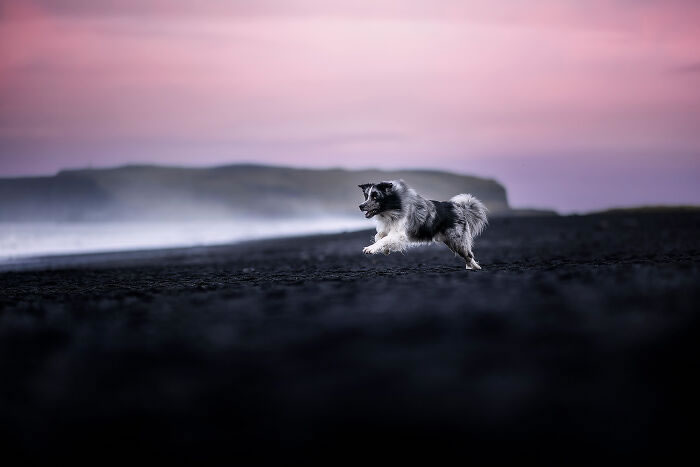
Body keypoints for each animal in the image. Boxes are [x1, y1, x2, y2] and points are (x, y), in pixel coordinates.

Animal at [358, 181, 490, 270]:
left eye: (375, 196)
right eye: (366, 196)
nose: (361, 206)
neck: (390, 211)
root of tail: (459, 207)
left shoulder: (399, 234)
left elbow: (383, 239)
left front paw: (370, 248)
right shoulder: (387, 228)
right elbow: (379, 237)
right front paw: (385, 250)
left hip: (457, 240)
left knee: (469, 254)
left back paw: (475, 267)